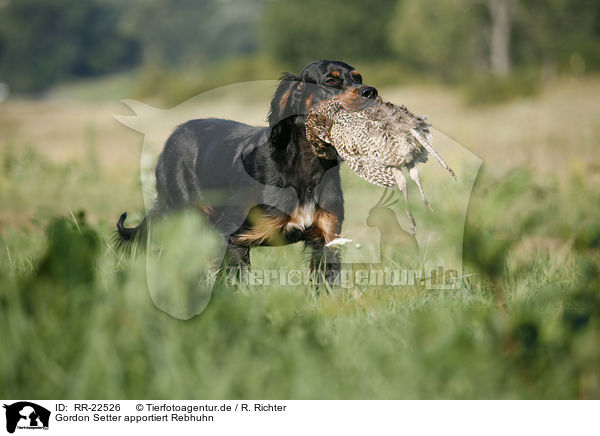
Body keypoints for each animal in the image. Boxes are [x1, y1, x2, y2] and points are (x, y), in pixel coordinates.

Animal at [116, 59, 378, 282]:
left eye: (359, 78)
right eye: (331, 81)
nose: (371, 92)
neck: (305, 167)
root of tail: (175, 134)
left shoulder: (327, 238)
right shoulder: (232, 236)